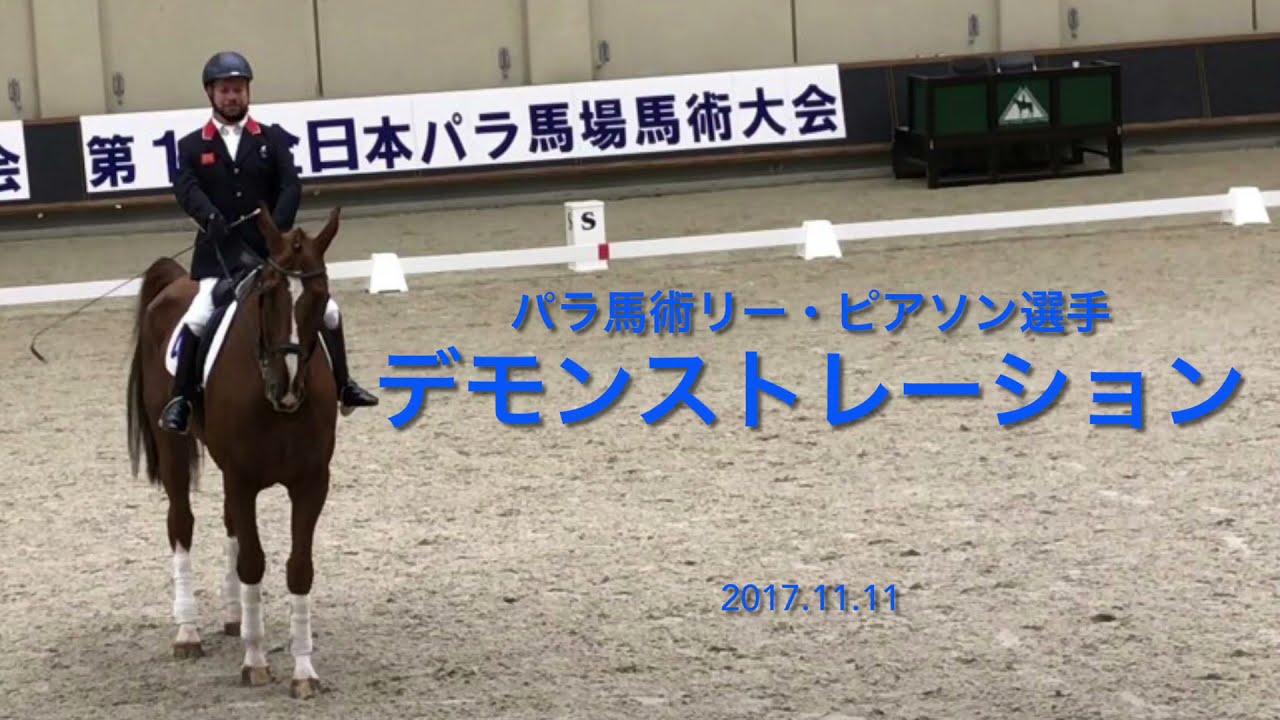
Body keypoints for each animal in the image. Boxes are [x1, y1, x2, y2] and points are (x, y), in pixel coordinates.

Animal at [126, 202, 342, 699]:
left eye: (320, 295)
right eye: (268, 293)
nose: (287, 388)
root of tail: (176, 283)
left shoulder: (311, 482)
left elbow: (298, 568)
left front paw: (304, 670)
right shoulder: (243, 479)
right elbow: (253, 562)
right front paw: (256, 662)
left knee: (228, 526)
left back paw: (232, 617)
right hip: (174, 447)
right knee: (181, 523)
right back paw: (188, 633)